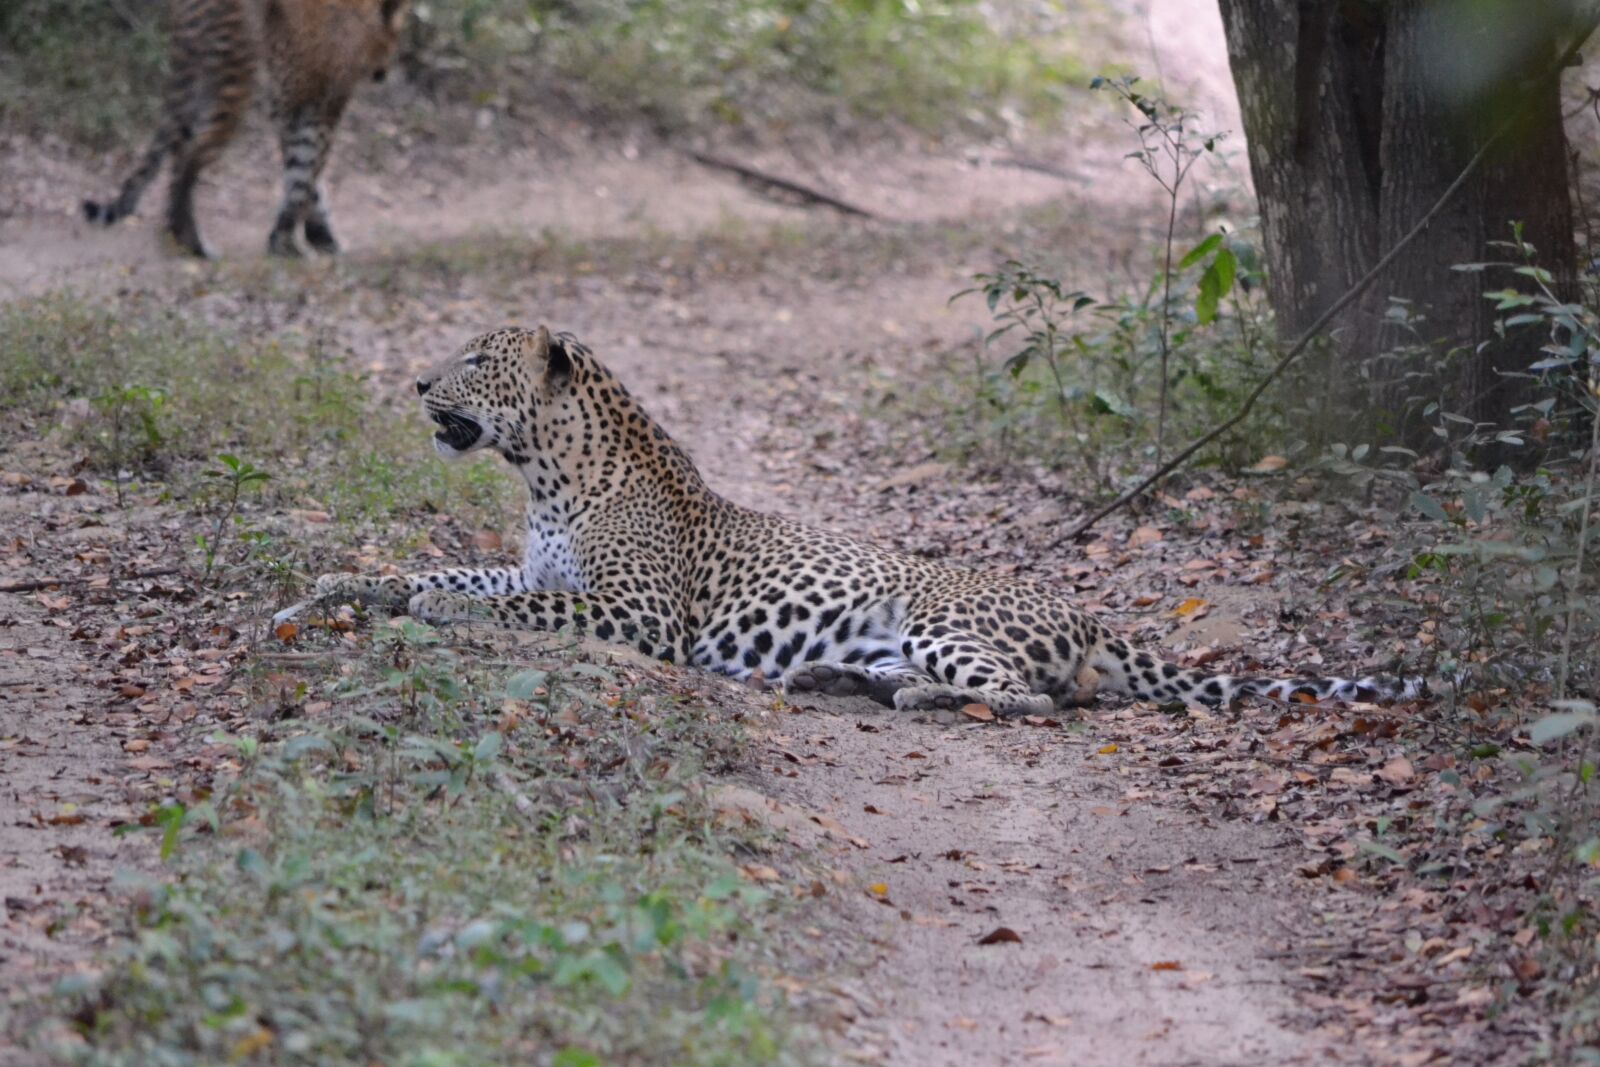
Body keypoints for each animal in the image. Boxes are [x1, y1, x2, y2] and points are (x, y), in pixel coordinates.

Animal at [82, 0, 408, 259]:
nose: (383, 73)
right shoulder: (317, 108)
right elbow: (307, 172)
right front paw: (290, 243)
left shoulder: (288, 107)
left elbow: (305, 174)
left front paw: (311, 237)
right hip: (233, 76)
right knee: (190, 158)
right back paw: (195, 244)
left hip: (198, 76)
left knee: (177, 151)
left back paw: (177, 236)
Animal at [273, 325, 1426, 716]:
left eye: (476, 357)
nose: (418, 381)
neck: (545, 474)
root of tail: (1093, 618)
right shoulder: (538, 570)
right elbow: (450, 571)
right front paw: (346, 582)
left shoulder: (635, 616)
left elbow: (501, 610)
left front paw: (428, 609)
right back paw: (838, 680)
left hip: (945, 620)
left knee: (1033, 698)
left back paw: (907, 695)